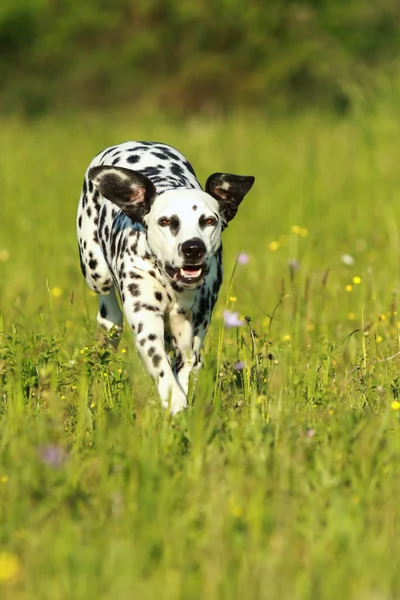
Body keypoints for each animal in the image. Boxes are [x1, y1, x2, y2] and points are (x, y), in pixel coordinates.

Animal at [76, 141, 255, 412]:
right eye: (166, 221)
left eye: (209, 220)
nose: (193, 248)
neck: (173, 286)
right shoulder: (146, 324)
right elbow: (162, 368)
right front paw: (176, 403)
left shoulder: (191, 335)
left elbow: (187, 366)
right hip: (94, 269)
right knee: (107, 303)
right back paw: (111, 324)